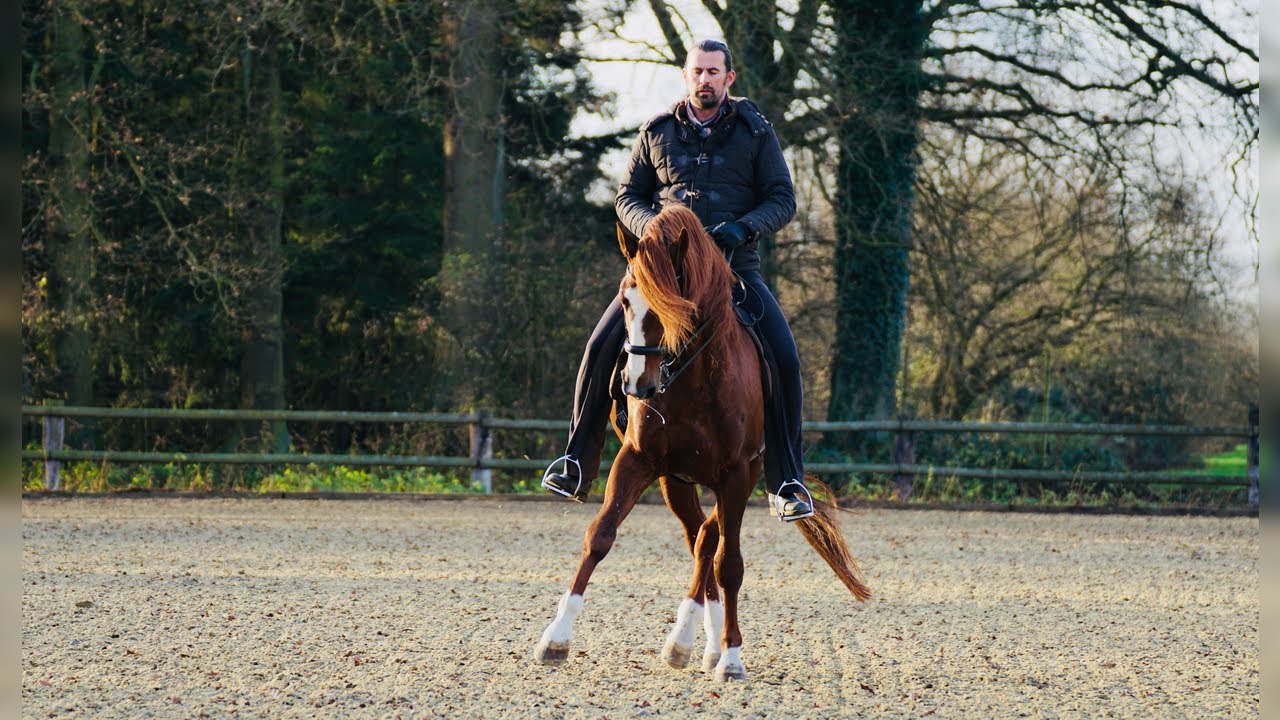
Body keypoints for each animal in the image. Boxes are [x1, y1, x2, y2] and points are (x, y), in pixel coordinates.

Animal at [533, 205, 871, 681]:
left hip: (742, 475)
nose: (637, 384)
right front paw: (556, 638)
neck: (691, 377)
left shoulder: (736, 474)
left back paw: (703, 644)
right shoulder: (638, 460)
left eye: (677, 305)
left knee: (710, 543)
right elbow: (600, 535)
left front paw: (731, 658)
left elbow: (729, 565)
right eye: (626, 302)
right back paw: (689, 642)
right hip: (675, 481)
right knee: (700, 538)